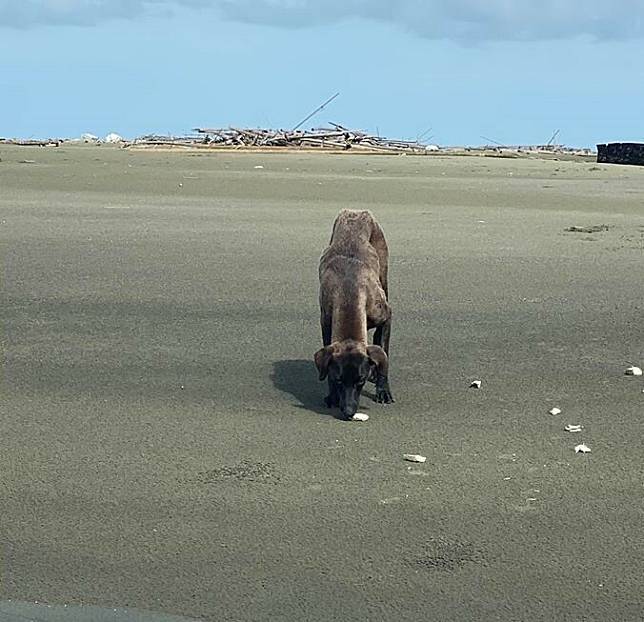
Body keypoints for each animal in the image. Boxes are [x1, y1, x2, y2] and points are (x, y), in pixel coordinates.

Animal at [314, 208, 394, 420]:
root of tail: (356, 212)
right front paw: (332, 395)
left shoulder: (385, 313)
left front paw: (383, 389)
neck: (349, 292)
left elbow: (383, 348)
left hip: (383, 272)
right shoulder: (326, 324)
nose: (349, 412)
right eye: (339, 380)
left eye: (360, 381)